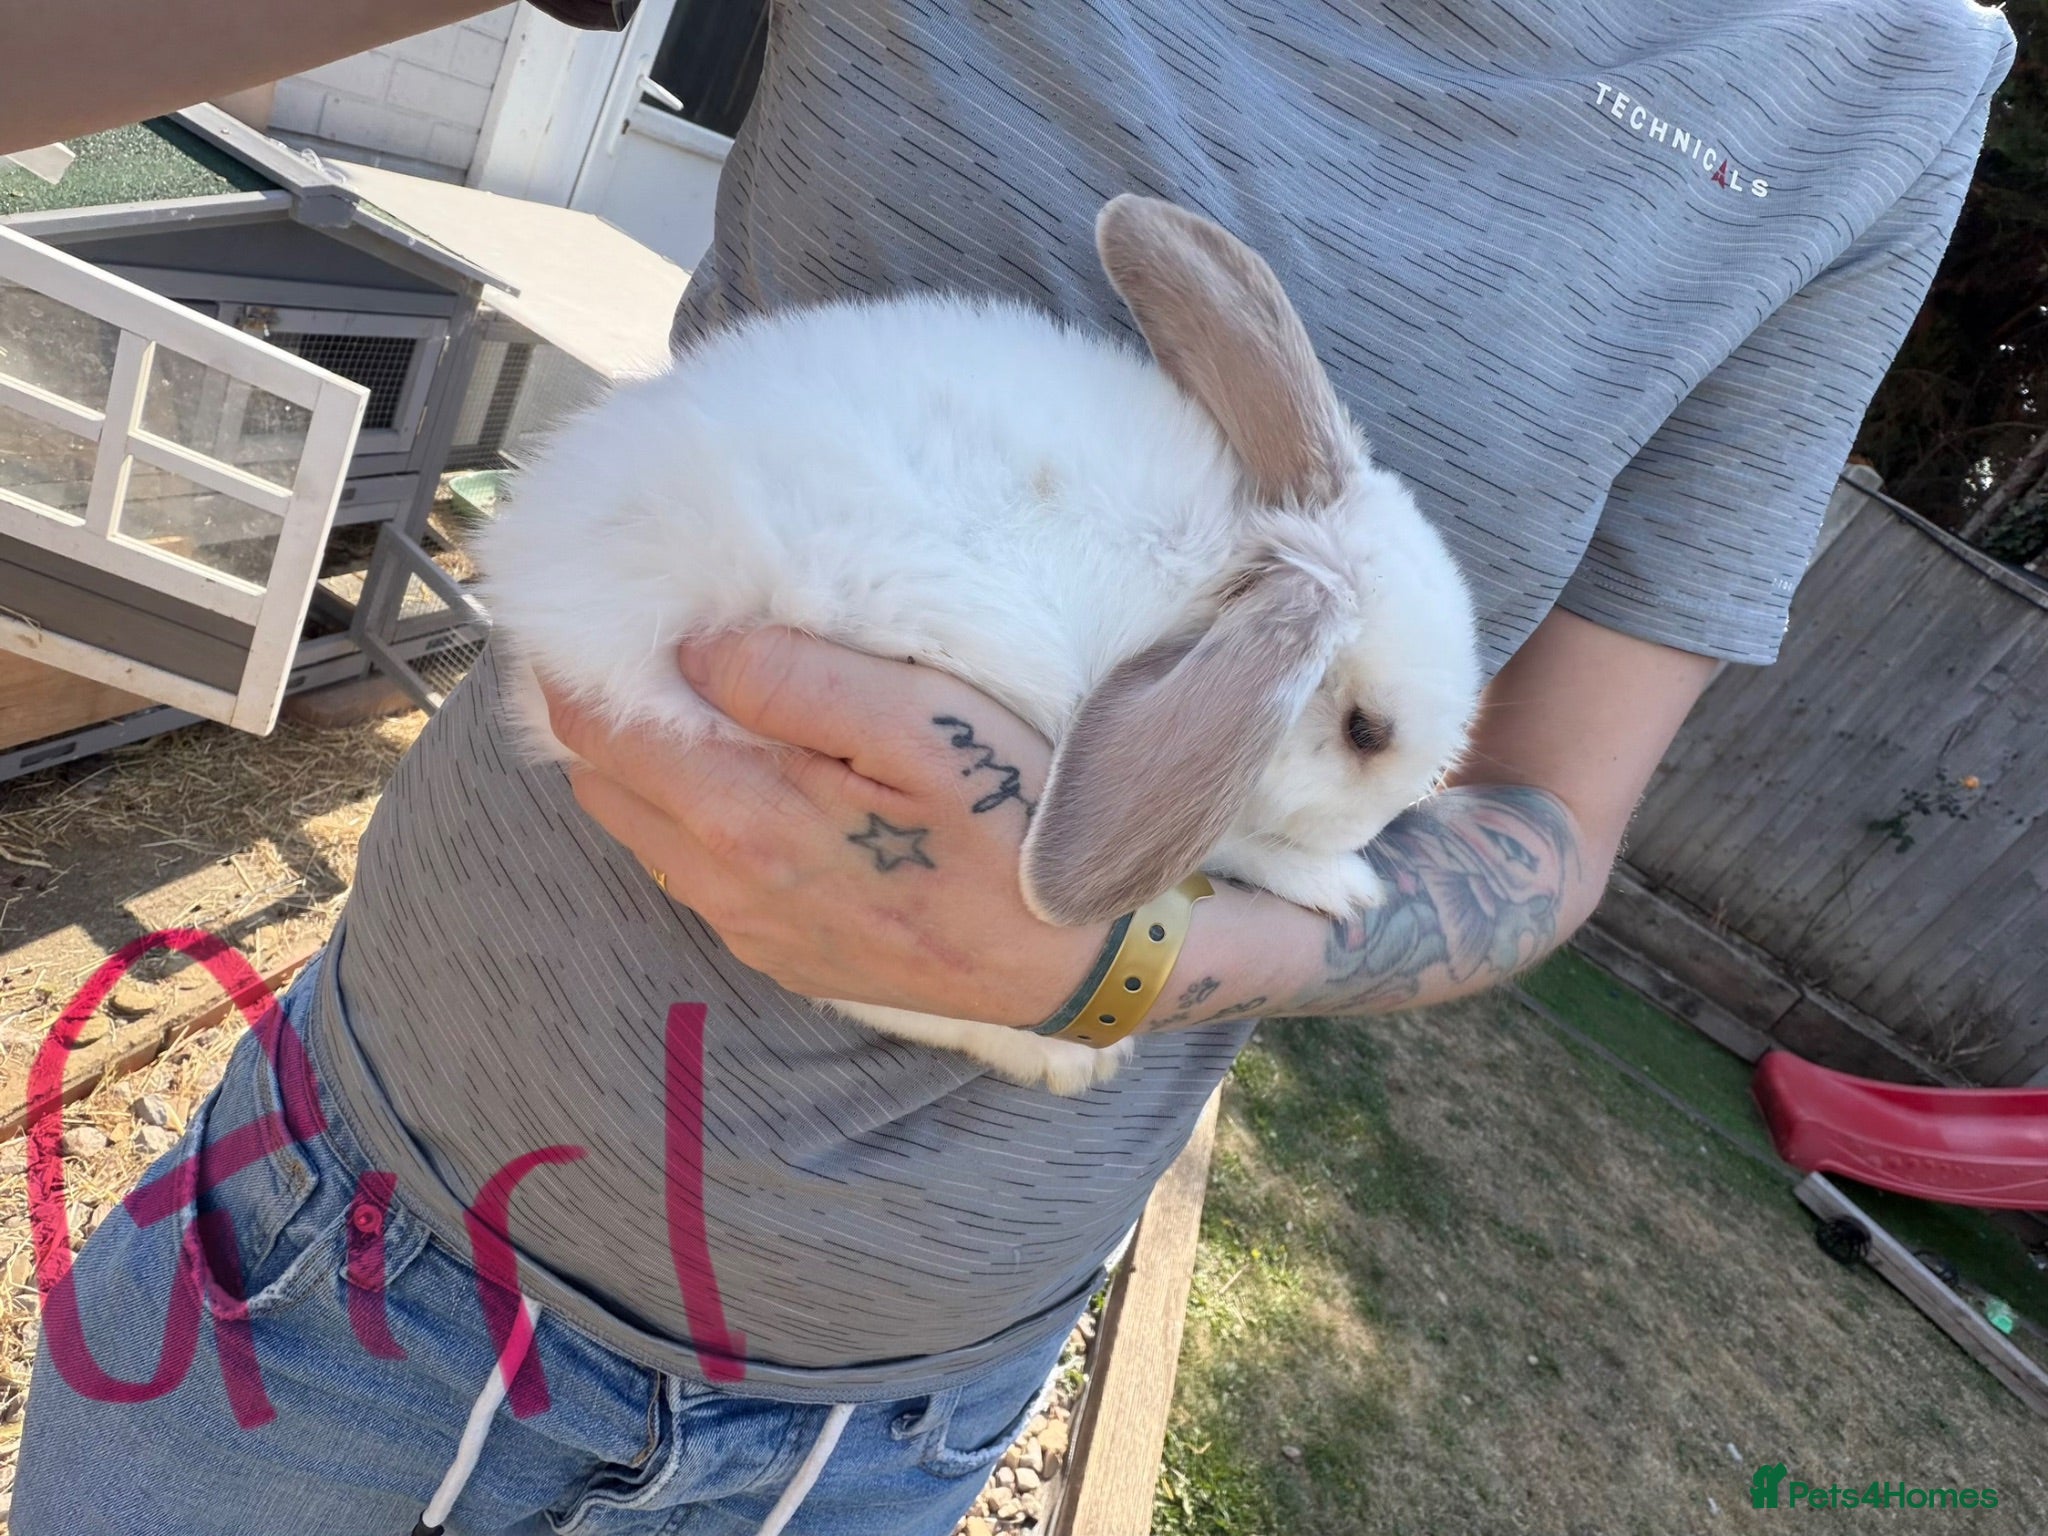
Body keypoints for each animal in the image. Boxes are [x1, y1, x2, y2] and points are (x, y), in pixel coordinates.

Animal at [475, 195, 1481, 1095]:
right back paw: (1073, 1061)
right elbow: (1228, 840)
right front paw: (1343, 884)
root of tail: (546, 586)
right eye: (1365, 731)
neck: (1224, 577)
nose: (1373, 832)